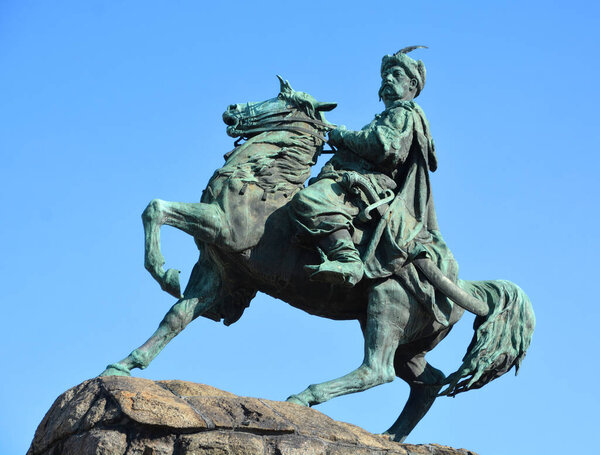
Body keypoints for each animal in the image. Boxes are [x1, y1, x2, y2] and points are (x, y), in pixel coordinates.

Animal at [101, 76, 536, 444]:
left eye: (282, 96)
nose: (231, 109)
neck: (262, 181)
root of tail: (462, 285)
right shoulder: (218, 270)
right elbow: (176, 316)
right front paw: (124, 364)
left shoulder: (220, 227)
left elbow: (156, 208)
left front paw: (163, 272)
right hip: (408, 342)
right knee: (427, 382)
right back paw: (389, 436)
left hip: (387, 306)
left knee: (377, 370)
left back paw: (305, 396)